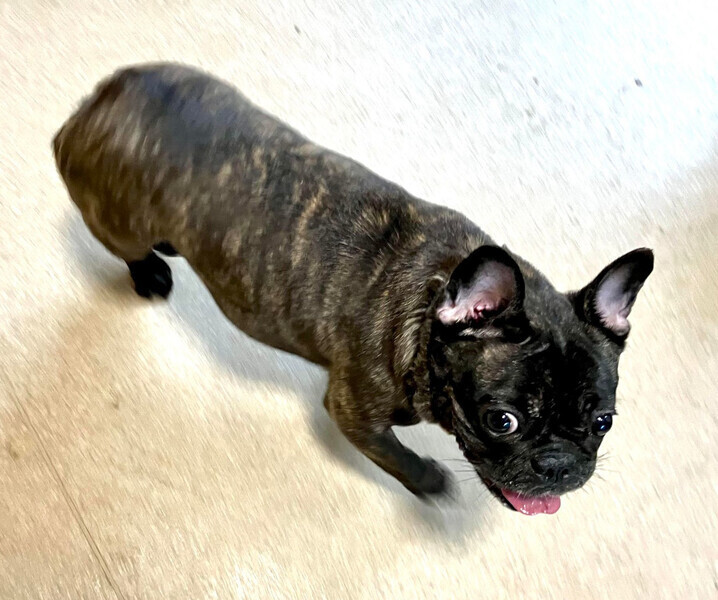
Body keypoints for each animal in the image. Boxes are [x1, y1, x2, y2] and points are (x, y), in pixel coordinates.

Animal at [53, 63, 653, 514]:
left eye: (603, 422)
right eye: (501, 421)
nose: (559, 465)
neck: (430, 299)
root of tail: (96, 103)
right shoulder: (353, 413)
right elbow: (396, 456)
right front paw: (428, 480)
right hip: (115, 220)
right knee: (125, 246)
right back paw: (150, 272)